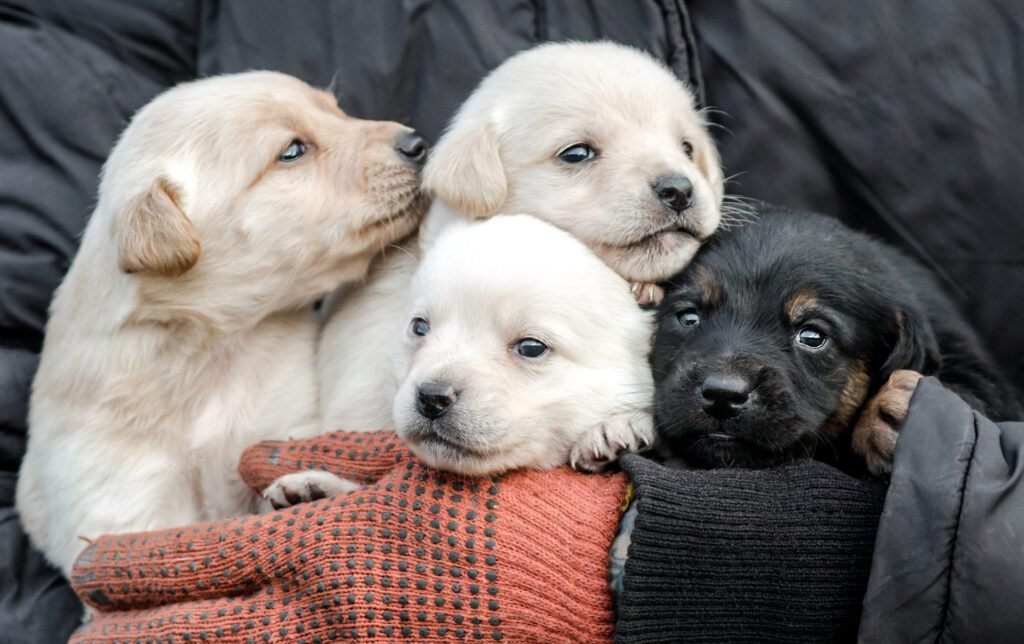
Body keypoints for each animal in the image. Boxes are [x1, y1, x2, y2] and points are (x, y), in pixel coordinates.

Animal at [19, 70, 428, 573]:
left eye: (336, 110)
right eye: (292, 150)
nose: (417, 142)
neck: (211, 347)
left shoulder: (282, 422)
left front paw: (314, 493)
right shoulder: (118, 496)